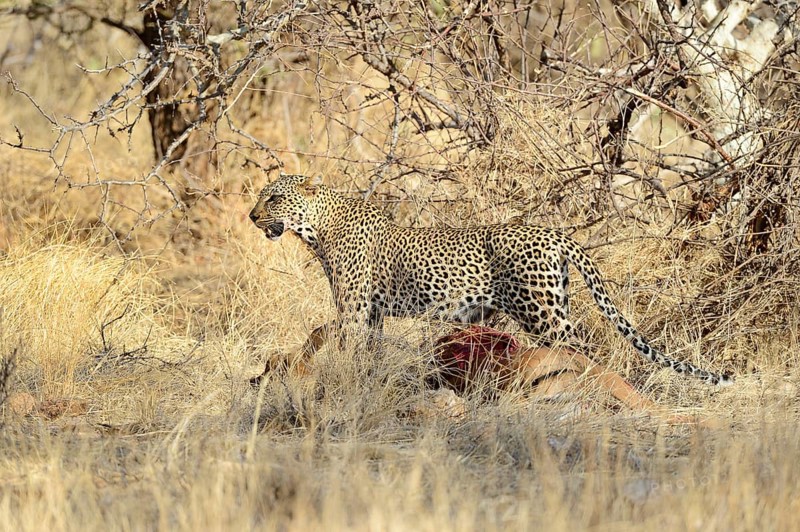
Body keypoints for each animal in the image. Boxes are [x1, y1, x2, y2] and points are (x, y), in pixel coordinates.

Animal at [249, 173, 733, 386]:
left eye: (273, 198)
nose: (252, 216)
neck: (317, 228)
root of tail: (554, 233)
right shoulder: (370, 314)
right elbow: (361, 349)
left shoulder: (353, 309)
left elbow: (335, 339)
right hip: (554, 302)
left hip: (539, 311)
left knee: (580, 347)